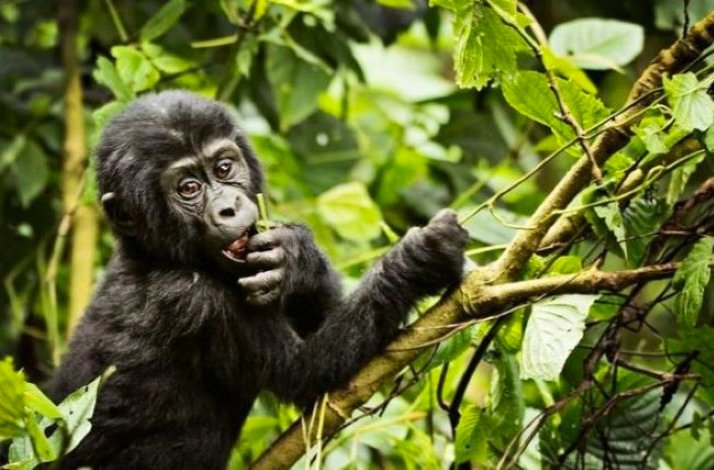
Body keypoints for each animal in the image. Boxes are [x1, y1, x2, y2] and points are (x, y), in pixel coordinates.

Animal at [49, 90, 469, 469]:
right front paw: (418, 260)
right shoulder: (192, 300)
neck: (156, 255)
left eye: (223, 168)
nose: (229, 207)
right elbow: (310, 374)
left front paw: (296, 256)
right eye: (189, 188)